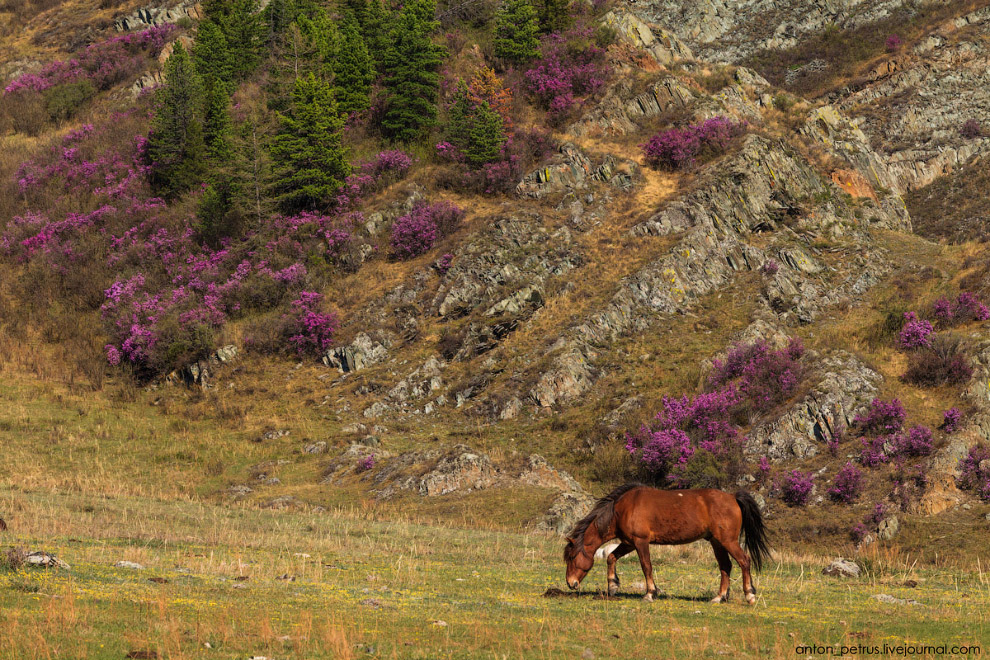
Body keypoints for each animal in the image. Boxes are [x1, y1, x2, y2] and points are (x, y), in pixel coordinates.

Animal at [560, 482, 772, 600]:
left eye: (571, 558)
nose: (570, 583)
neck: (622, 508)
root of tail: (732, 497)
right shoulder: (628, 543)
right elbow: (611, 557)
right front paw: (612, 586)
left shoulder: (640, 542)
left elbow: (646, 566)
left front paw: (650, 593)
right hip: (717, 543)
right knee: (725, 567)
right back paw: (719, 597)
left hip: (728, 541)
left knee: (744, 561)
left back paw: (749, 594)